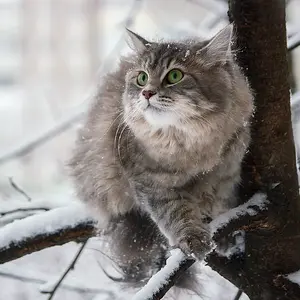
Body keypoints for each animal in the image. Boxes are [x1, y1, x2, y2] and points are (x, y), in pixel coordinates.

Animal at [69, 24, 253, 294]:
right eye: (142, 78)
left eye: (175, 76)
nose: (147, 93)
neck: (191, 146)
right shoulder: (150, 183)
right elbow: (176, 213)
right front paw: (194, 239)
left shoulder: (225, 175)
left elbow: (221, 204)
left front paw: (227, 238)